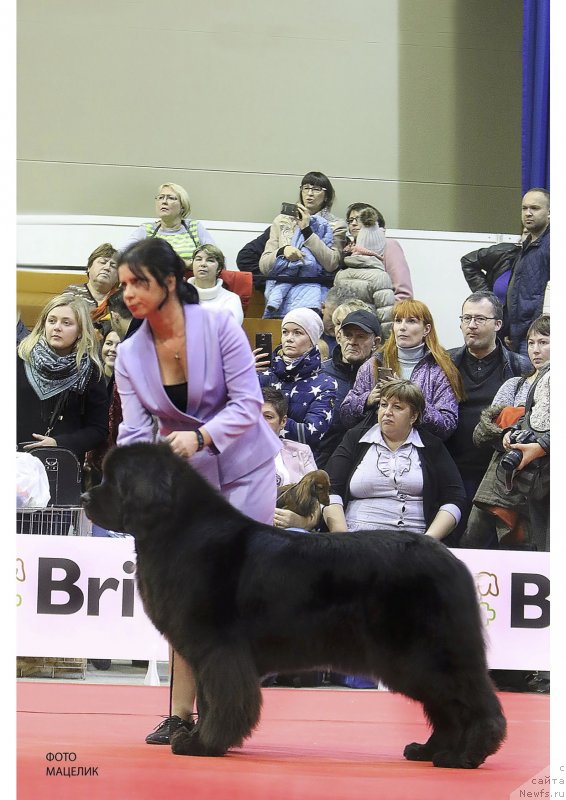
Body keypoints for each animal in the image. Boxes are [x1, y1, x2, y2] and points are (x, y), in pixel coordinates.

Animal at [82, 440, 508, 764]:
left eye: (113, 479)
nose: (85, 495)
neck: (178, 529)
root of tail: (453, 560)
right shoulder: (207, 653)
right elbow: (210, 698)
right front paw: (200, 738)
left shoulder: (219, 650)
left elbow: (221, 700)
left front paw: (202, 743)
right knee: (446, 707)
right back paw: (430, 750)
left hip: (428, 652)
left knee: (470, 701)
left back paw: (466, 755)